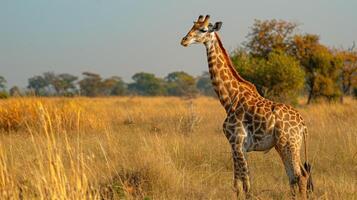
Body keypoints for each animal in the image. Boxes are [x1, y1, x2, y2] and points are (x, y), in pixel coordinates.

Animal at [181, 15, 312, 198]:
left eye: (203, 29)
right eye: (192, 26)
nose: (184, 40)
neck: (230, 99)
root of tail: (303, 125)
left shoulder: (238, 142)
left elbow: (246, 185)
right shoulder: (234, 146)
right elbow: (237, 184)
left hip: (288, 144)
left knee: (300, 176)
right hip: (285, 145)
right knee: (294, 177)